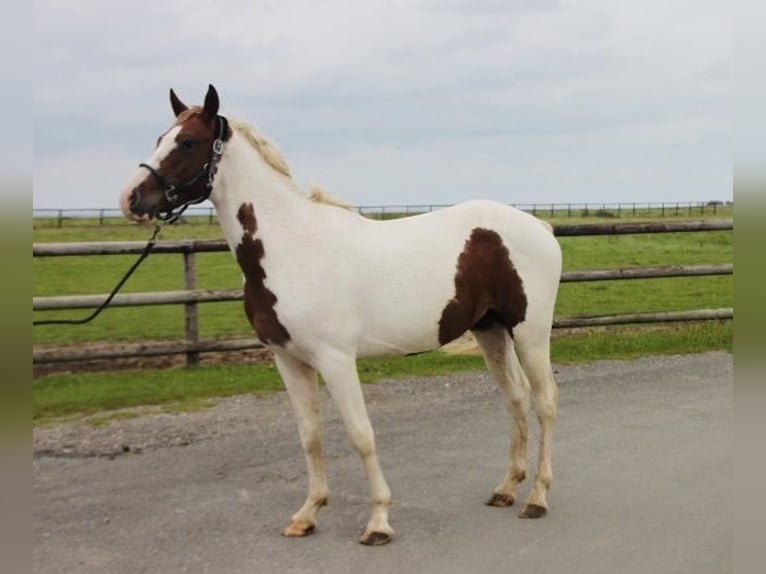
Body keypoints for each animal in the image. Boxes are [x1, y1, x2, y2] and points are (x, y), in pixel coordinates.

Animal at [120, 83, 564, 548]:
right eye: (160, 138)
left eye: (187, 142)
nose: (130, 199)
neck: (290, 246)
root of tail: (539, 227)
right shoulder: (288, 360)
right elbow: (310, 436)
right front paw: (307, 513)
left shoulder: (335, 360)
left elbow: (360, 434)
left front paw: (378, 521)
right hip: (490, 330)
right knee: (516, 399)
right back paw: (506, 488)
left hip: (530, 333)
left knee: (545, 402)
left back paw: (537, 497)